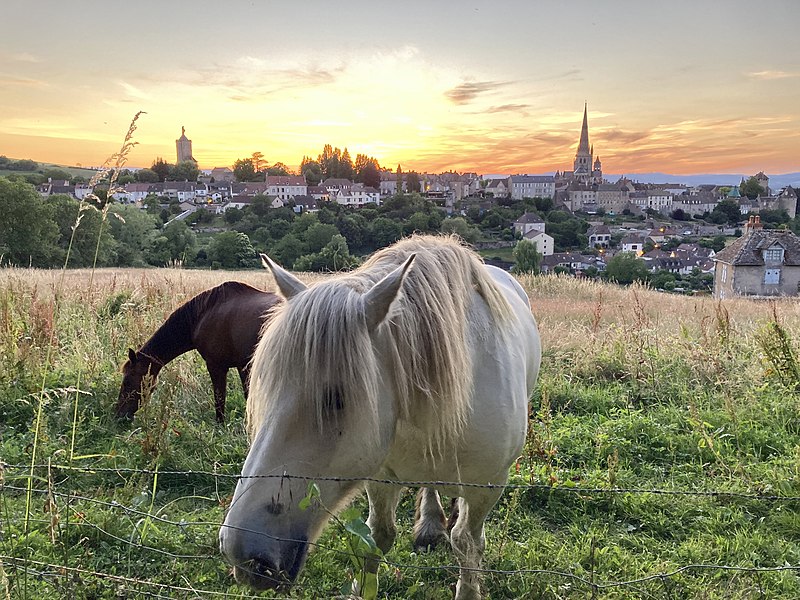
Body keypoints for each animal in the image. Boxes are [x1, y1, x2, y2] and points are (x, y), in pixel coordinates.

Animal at [115, 282, 282, 422]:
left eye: (127, 381)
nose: (119, 415)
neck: (202, 315)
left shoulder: (216, 366)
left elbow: (220, 399)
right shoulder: (243, 367)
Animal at [222, 237, 540, 596]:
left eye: (336, 399)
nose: (242, 553)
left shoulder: (488, 486)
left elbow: (467, 544)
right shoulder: (380, 476)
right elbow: (377, 537)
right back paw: (430, 524)